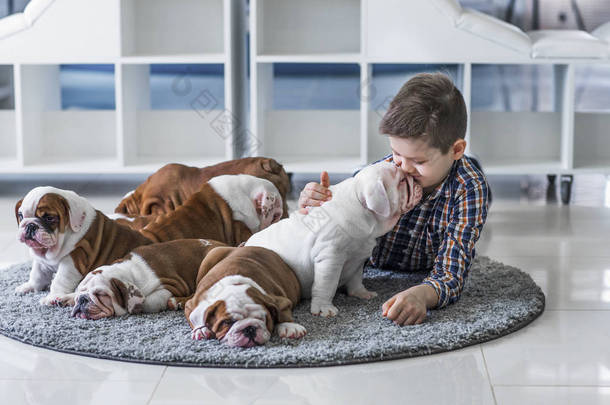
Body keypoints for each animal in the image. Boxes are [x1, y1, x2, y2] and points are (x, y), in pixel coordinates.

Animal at [14, 186, 150, 306]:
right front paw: (29, 286)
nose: (30, 225)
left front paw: (52, 297)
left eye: (49, 218)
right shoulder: (41, 262)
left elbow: (60, 280)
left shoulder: (73, 259)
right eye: (21, 216)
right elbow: (37, 274)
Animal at [71, 238, 223, 320]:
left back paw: (177, 302)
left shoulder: (171, 285)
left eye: (101, 294)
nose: (82, 299)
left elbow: (148, 302)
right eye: (80, 291)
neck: (127, 271)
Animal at [245, 160, 420, 316]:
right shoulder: (330, 258)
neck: (361, 206)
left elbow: (356, 278)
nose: (412, 177)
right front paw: (324, 308)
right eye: (402, 181)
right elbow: (327, 285)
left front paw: (361, 293)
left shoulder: (358, 259)